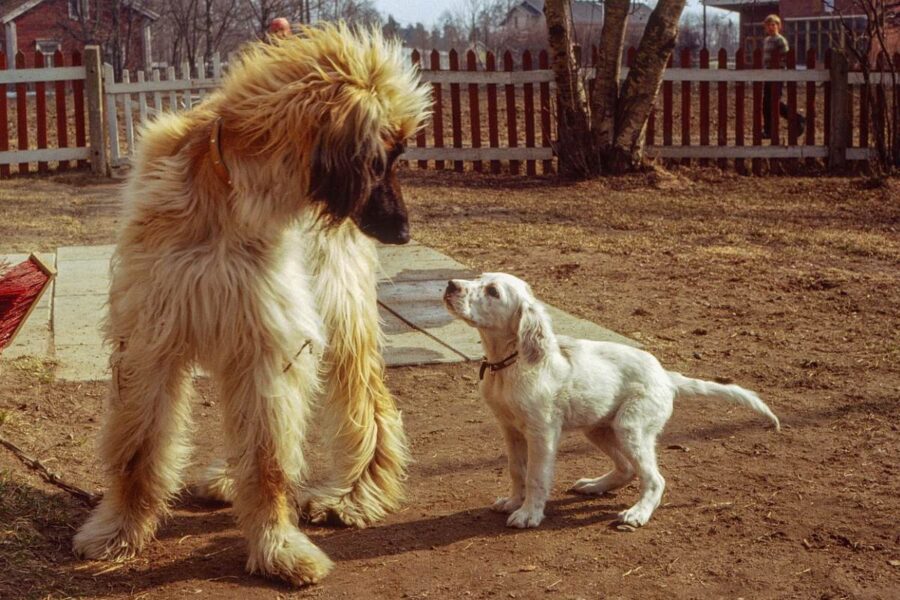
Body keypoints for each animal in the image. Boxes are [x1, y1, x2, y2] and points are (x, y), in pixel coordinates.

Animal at [442, 274, 780, 528]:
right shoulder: (510, 429)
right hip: (599, 427)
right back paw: (595, 485)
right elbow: (517, 469)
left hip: (632, 427)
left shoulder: (542, 433)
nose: (450, 285)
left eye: (493, 291)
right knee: (627, 469)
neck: (508, 363)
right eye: (479, 277)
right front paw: (513, 501)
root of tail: (666, 376)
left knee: (654, 479)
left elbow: (536, 475)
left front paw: (528, 514)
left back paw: (637, 513)